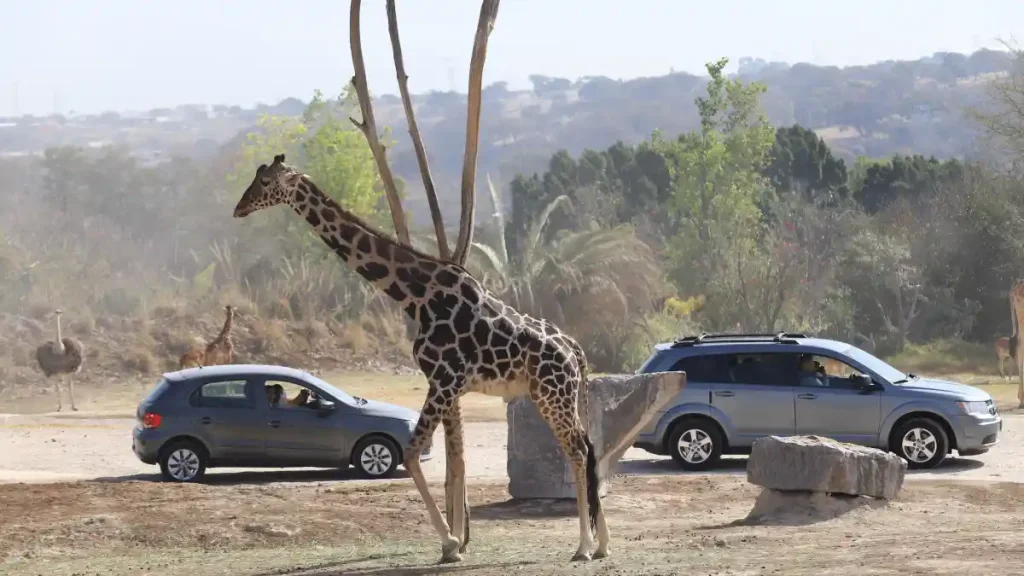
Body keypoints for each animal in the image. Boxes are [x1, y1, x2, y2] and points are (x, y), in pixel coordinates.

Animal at [233, 154, 610, 563]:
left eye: (266, 182)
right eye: (256, 177)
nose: (239, 208)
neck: (416, 295)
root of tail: (575, 349)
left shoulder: (443, 378)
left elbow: (413, 453)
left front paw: (450, 544)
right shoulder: (449, 385)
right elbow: (454, 459)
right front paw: (456, 542)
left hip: (552, 394)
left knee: (577, 450)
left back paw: (583, 546)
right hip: (560, 395)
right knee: (589, 447)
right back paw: (603, 543)